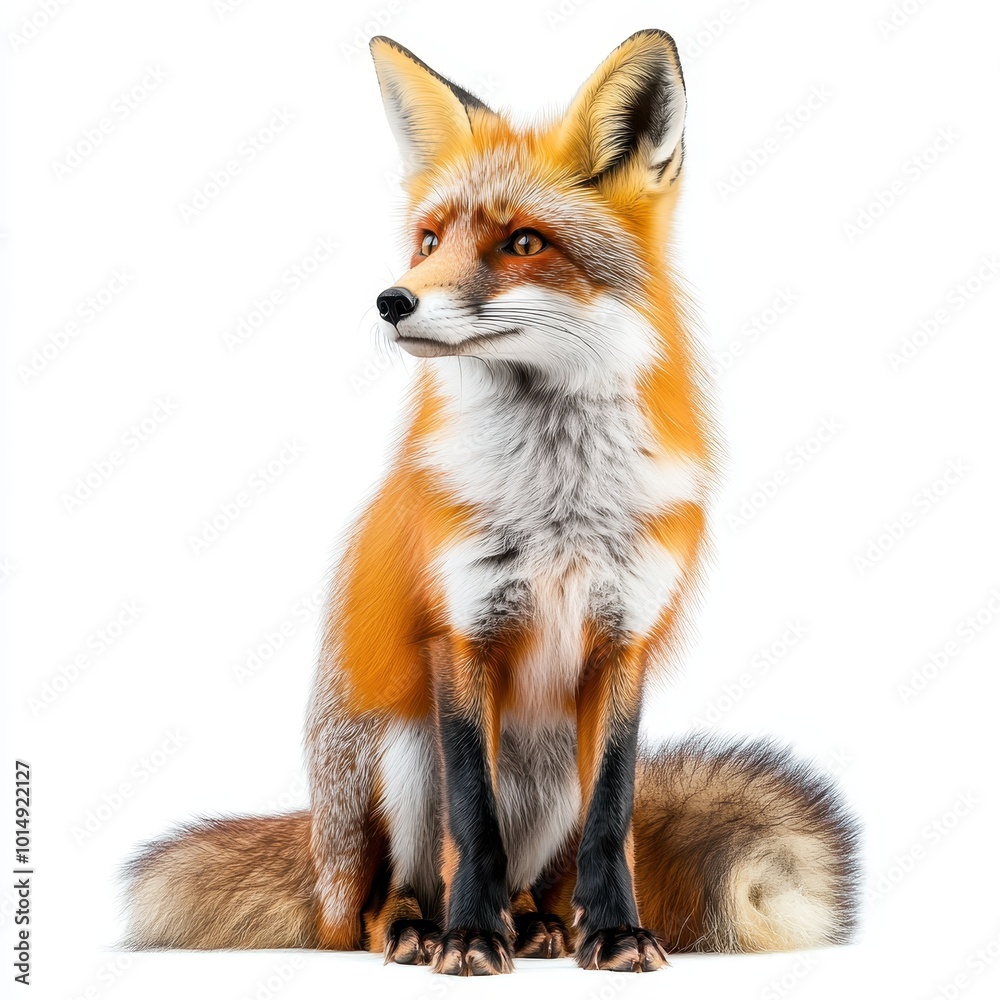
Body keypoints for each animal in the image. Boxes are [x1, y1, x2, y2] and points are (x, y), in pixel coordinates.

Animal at [122, 31, 859, 975]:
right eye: (428, 239)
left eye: (522, 242)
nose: (391, 300)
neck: (559, 506)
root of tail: (321, 854)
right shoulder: (461, 632)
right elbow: (470, 818)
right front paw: (470, 938)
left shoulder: (624, 642)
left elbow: (614, 819)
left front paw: (615, 932)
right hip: (397, 756)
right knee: (389, 897)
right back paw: (426, 929)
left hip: (550, 776)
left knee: (541, 873)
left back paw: (544, 925)